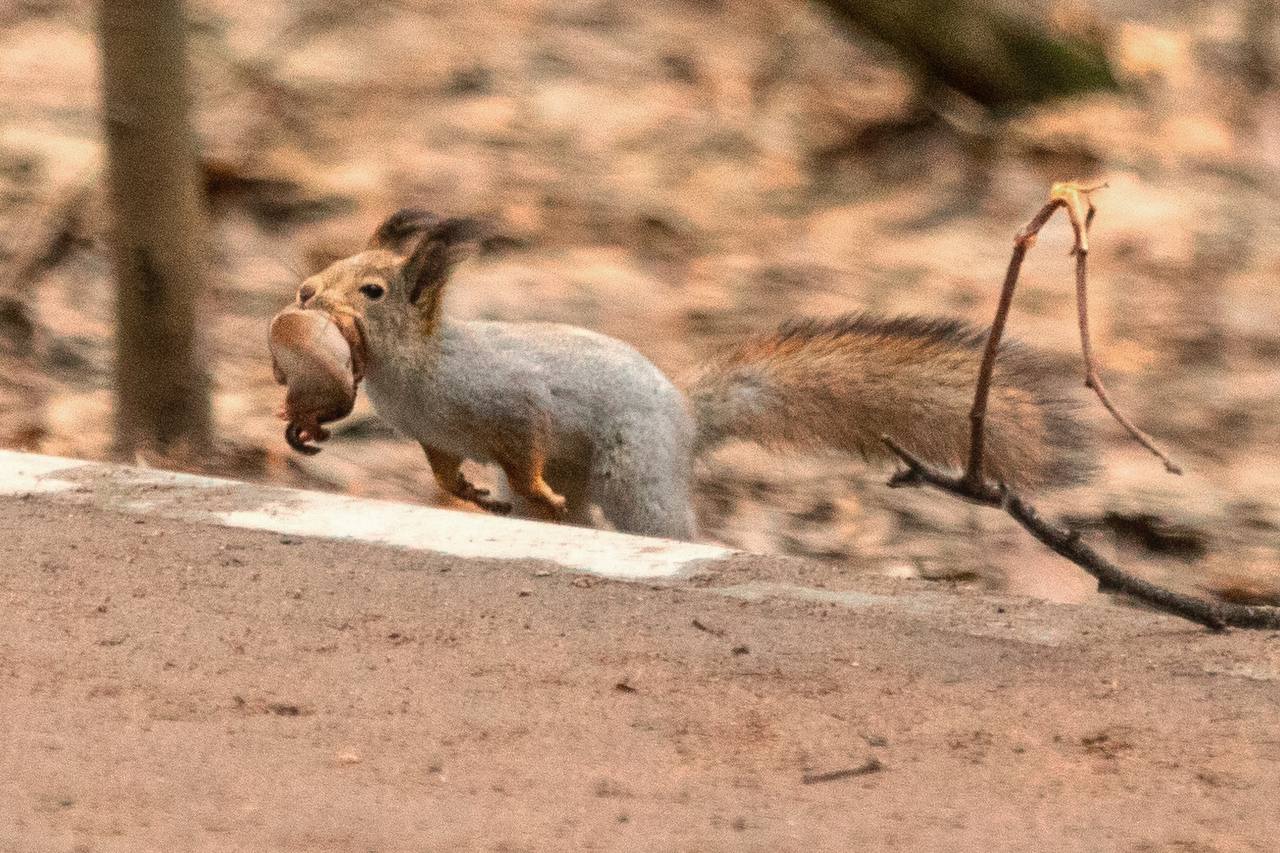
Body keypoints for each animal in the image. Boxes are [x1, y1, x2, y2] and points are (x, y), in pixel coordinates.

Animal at [290, 206, 1090, 537]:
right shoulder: (433, 433)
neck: (416, 369)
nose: (303, 294)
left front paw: (520, 484)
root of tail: (686, 415)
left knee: (657, 520)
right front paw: (465, 492)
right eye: (336, 268)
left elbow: (527, 433)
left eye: (373, 290)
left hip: (632, 466)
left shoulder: (512, 397)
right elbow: (442, 466)